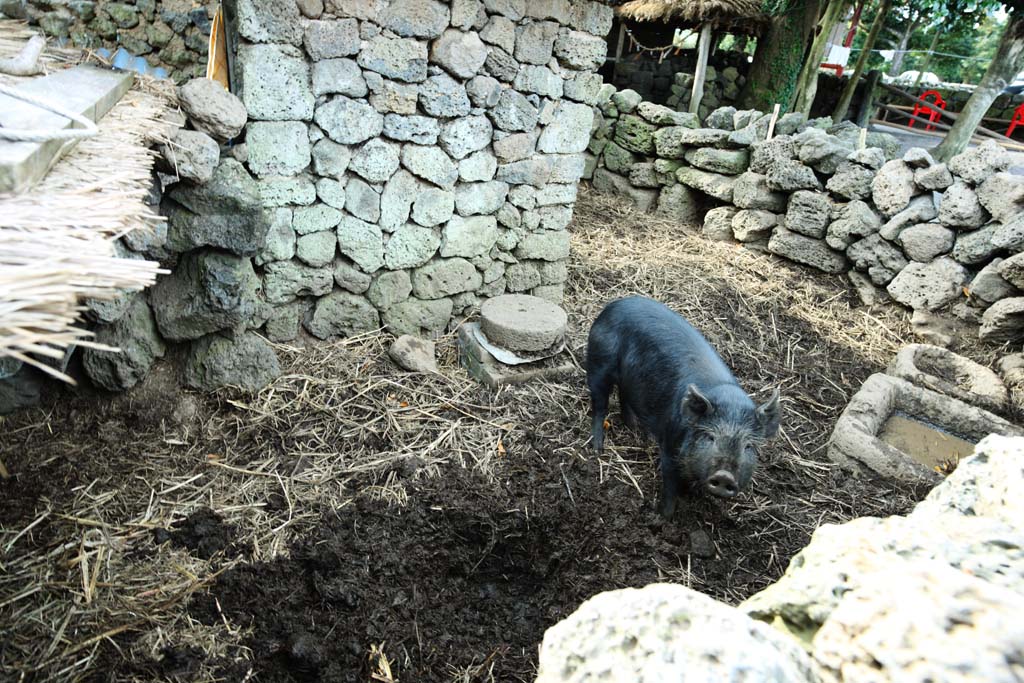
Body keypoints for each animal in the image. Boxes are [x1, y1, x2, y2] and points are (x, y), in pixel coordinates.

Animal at [589, 296, 778, 516]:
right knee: (599, 405)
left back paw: (636, 430)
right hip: (599, 363)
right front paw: (663, 516)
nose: (724, 476)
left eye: (749, 446)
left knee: (624, 393)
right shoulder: (670, 446)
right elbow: (671, 487)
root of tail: (612, 306)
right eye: (710, 437)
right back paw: (598, 449)